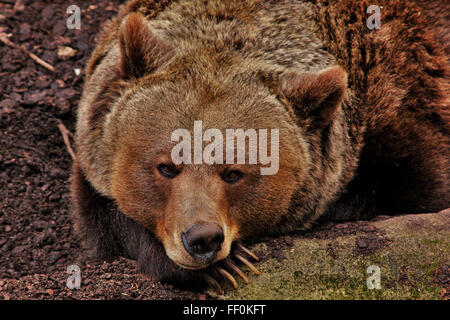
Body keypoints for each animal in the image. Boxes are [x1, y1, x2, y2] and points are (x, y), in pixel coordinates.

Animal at [70, 0, 446, 292]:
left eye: (233, 173)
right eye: (166, 167)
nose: (203, 238)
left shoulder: (407, 115)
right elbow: (104, 217)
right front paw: (224, 267)